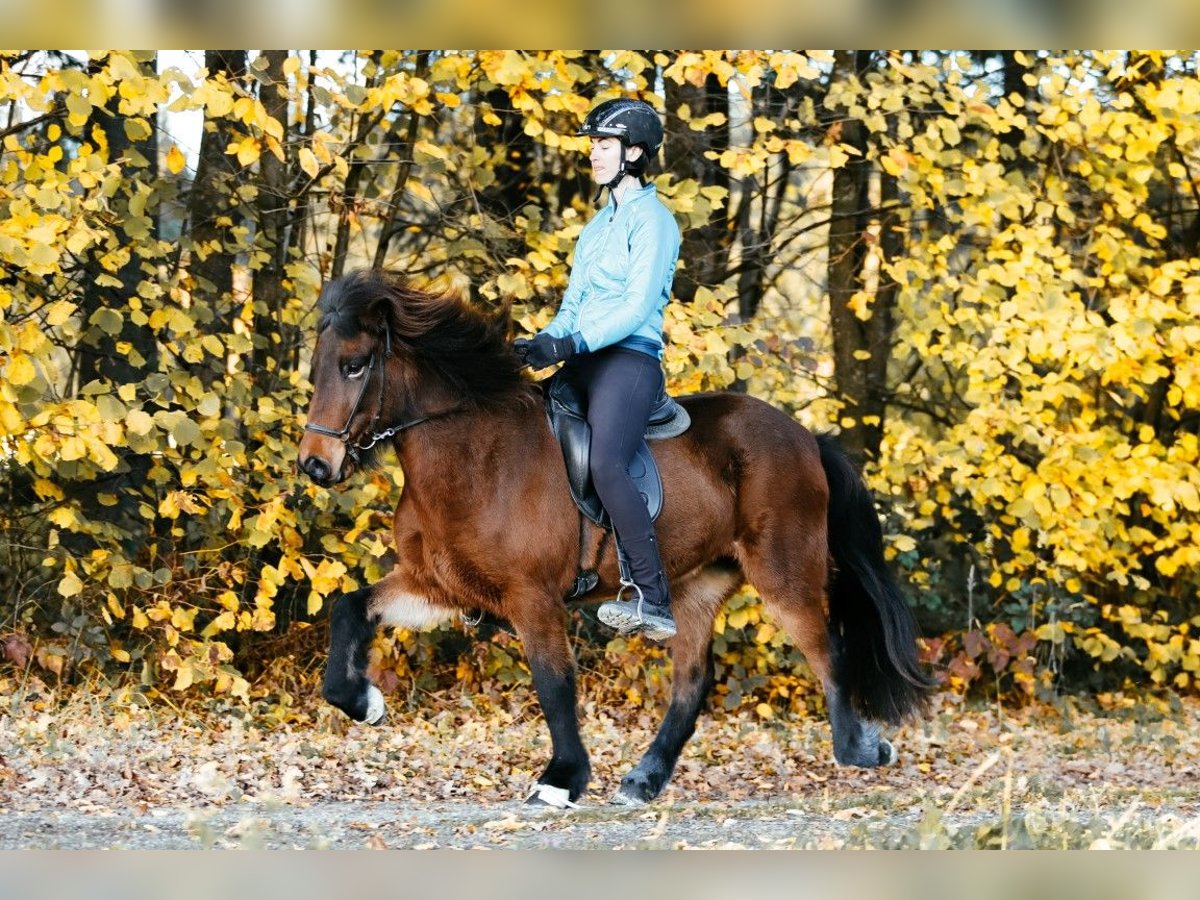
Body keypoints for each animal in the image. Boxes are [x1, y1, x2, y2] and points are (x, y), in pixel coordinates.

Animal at [296, 268, 931, 807]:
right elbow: (348, 607)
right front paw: (364, 703)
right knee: (692, 683)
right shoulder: (438, 587)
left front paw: (561, 780)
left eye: (355, 366)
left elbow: (553, 684)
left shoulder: (532, 598)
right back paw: (644, 780)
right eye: (317, 368)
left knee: (828, 650)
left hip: (783, 572)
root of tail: (805, 437)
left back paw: (861, 748)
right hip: (696, 588)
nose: (315, 465)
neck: (475, 458)